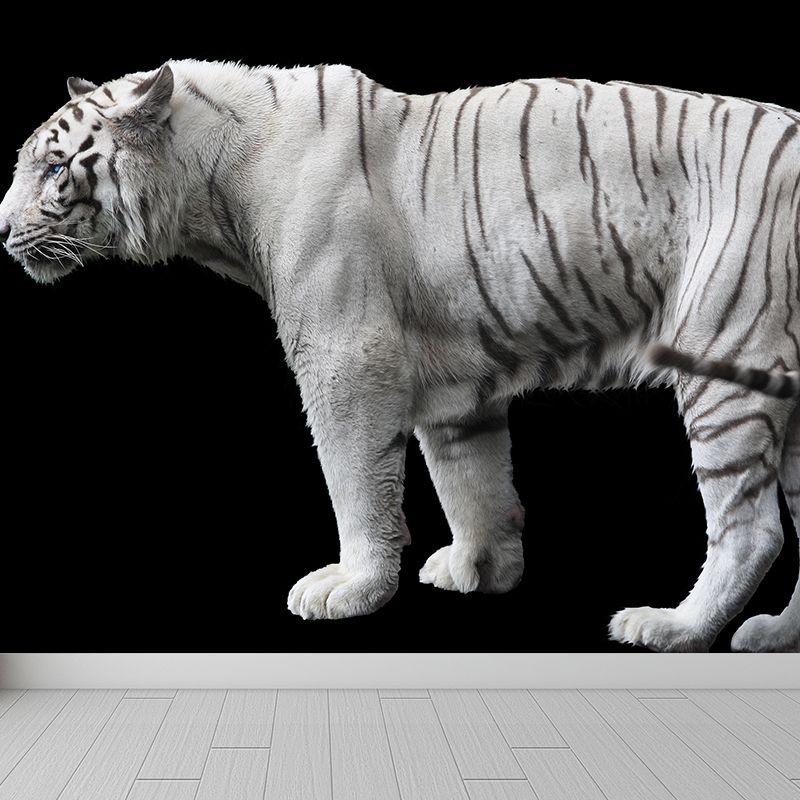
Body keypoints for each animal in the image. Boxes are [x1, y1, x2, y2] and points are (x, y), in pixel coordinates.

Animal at [1, 59, 799, 653]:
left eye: (55, 169)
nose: (2, 228)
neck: (211, 191)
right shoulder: (460, 376)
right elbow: (469, 479)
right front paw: (481, 568)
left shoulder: (345, 355)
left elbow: (356, 480)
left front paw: (352, 587)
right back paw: (773, 634)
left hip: (724, 351)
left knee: (750, 528)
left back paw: (672, 627)